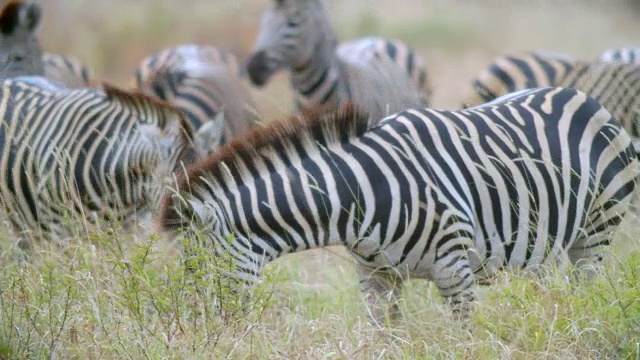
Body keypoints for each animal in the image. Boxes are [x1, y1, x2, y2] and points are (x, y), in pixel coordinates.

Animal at [161, 88, 640, 324]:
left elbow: (464, 339)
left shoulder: (455, 270)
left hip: (595, 232)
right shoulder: (375, 277)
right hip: (542, 243)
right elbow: (385, 339)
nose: (198, 332)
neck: (357, 198)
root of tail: (581, 96)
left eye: (198, 270)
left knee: (582, 290)